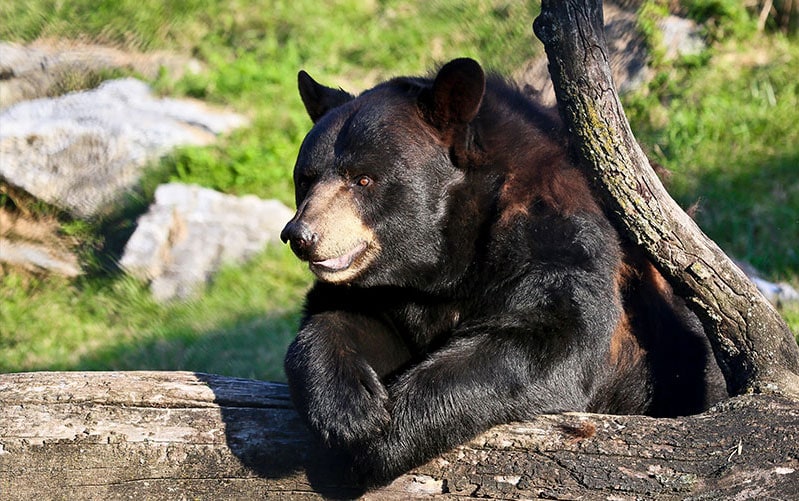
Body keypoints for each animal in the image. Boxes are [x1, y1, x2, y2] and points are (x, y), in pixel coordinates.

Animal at [278, 56, 728, 482]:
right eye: (306, 178)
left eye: (364, 179)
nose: (300, 234)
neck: (446, 260)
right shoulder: (391, 291)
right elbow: (344, 319)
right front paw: (351, 412)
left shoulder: (557, 236)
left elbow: (554, 335)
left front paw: (385, 439)